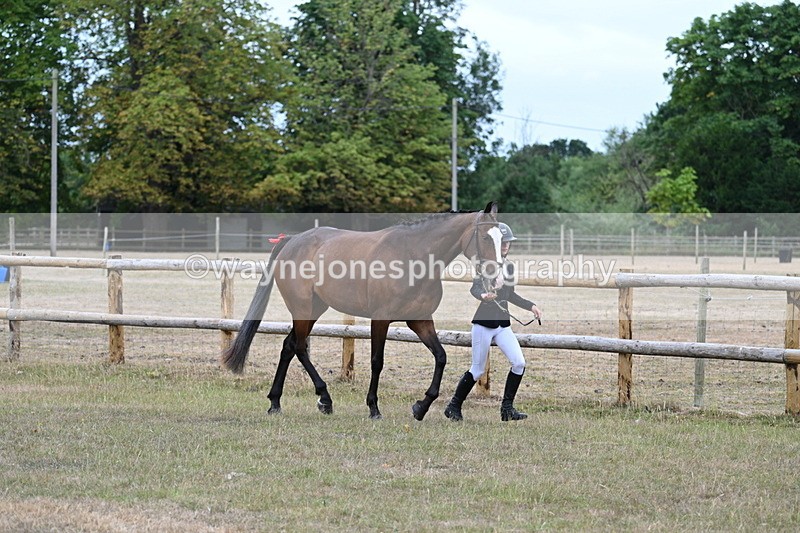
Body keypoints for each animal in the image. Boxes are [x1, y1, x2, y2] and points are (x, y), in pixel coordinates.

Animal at [221, 202, 502, 420]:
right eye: (485, 238)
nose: (497, 278)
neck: (413, 256)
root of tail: (292, 241)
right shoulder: (381, 319)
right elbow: (377, 361)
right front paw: (374, 408)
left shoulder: (420, 320)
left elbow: (441, 357)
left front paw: (421, 407)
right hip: (303, 309)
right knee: (299, 347)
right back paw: (324, 398)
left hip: (314, 309)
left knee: (289, 346)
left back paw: (276, 402)